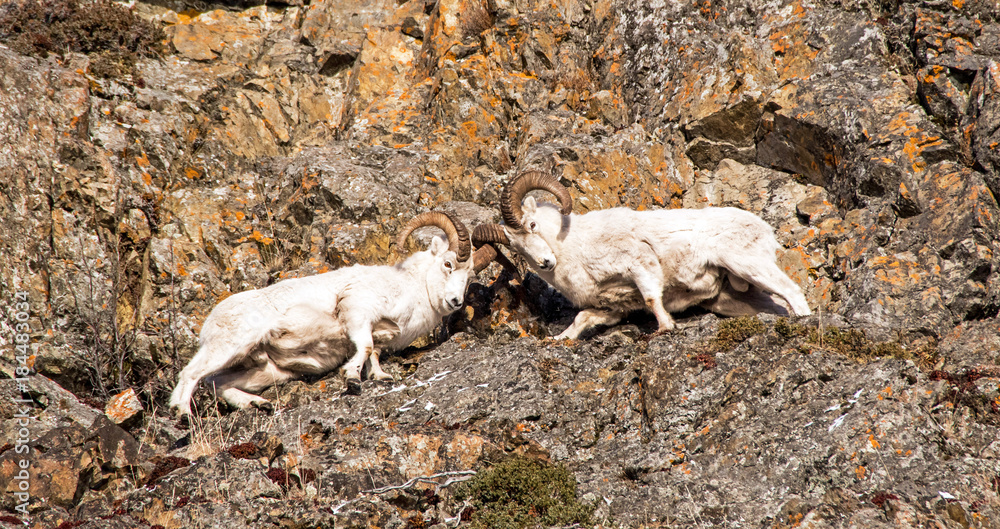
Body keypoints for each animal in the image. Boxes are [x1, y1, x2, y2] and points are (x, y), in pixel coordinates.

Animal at [169, 211, 492, 417]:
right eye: (448, 264)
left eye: (470, 275)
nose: (455, 301)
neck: (410, 287)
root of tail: (210, 322)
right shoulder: (357, 312)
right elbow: (366, 347)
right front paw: (352, 379)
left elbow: (374, 354)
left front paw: (380, 377)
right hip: (231, 344)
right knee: (192, 374)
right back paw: (183, 414)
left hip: (264, 370)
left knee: (217, 384)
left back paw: (259, 405)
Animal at [473, 171, 812, 339]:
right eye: (515, 248)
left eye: (532, 225)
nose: (546, 263)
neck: (574, 248)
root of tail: (763, 229)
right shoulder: (609, 308)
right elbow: (582, 320)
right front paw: (559, 340)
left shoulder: (640, 264)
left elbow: (651, 298)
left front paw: (666, 328)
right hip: (734, 300)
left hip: (747, 264)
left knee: (793, 292)